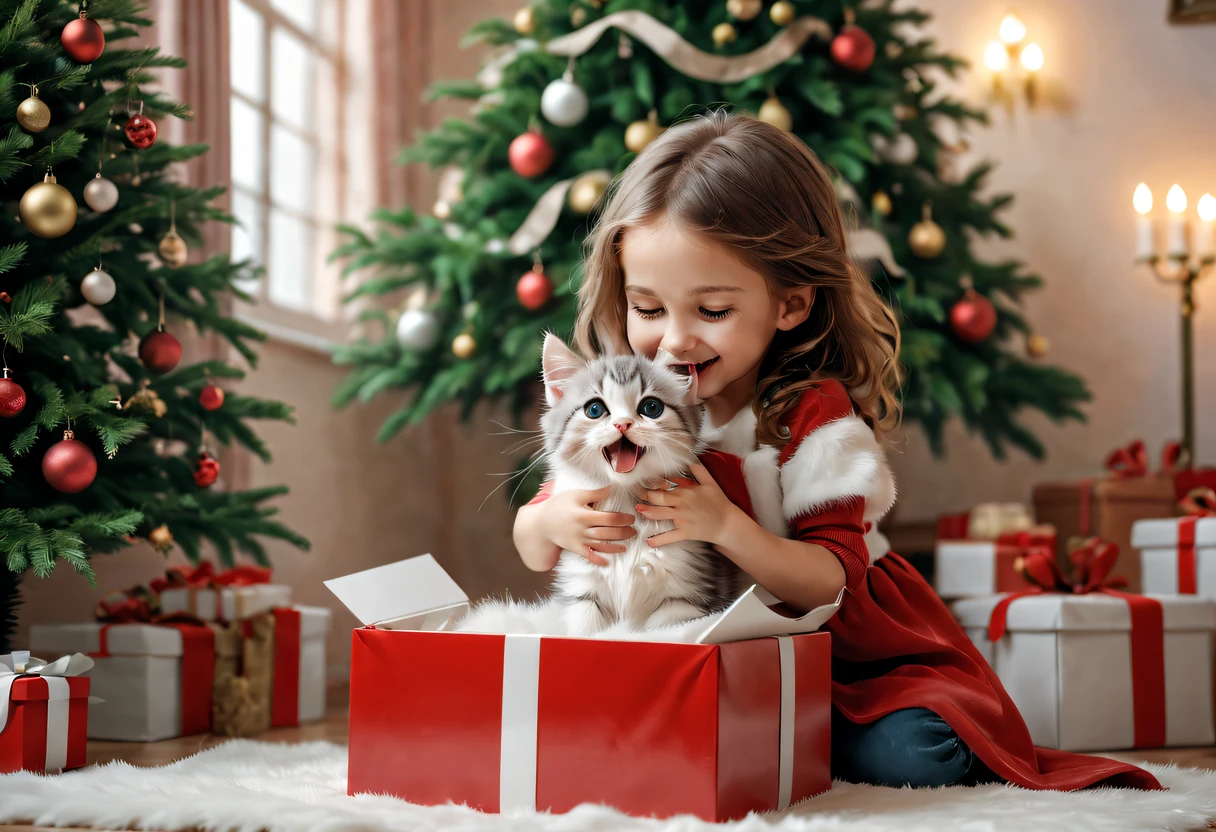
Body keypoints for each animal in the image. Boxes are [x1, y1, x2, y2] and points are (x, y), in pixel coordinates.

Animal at [539, 330, 739, 637]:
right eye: (594, 409)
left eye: (651, 407)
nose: (622, 424)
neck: (626, 503)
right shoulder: (583, 590)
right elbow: (587, 632)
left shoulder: (683, 598)